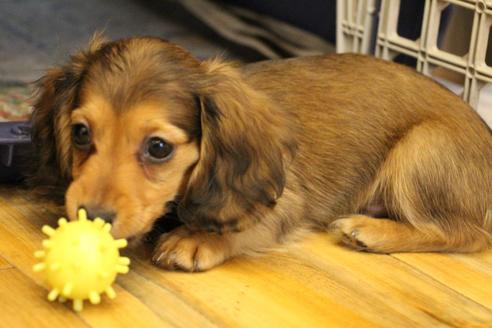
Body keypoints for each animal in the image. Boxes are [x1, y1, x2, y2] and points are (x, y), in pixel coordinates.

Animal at [28, 36, 492, 272]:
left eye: (158, 148)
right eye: (81, 133)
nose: (89, 216)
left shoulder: (285, 199)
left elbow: (244, 224)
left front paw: (197, 238)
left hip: (421, 148)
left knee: (468, 234)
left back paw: (370, 231)